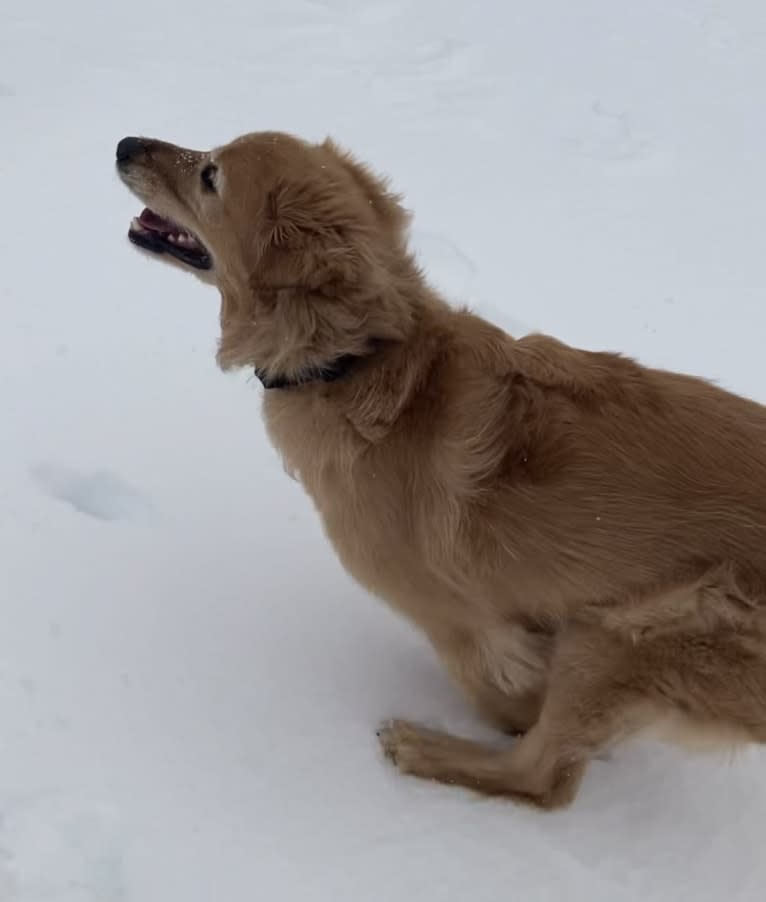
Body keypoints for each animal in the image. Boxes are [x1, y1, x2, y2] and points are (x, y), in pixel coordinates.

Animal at [115, 129, 766, 812]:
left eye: (211, 175)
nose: (124, 143)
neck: (360, 359)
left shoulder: (457, 620)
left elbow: (506, 695)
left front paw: (512, 714)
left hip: (622, 635)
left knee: (542, 780)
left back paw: (426, 749)